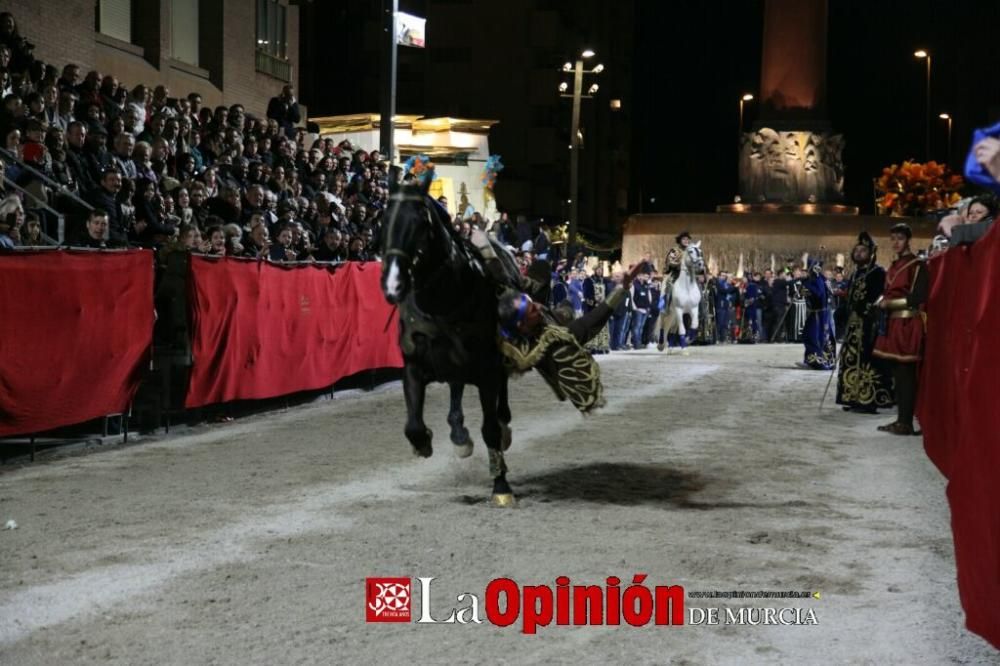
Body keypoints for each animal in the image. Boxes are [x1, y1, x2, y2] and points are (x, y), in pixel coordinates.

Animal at [376, 176, 516, 504]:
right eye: (385, 220)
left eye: (420, 222)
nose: (393, 283)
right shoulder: (414, 364)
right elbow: (413, 425)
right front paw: (423, 442)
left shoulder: (487, 369)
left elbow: (490, 428)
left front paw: (501, 486)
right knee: (455, 390)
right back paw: (459, 434)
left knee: (500, 404)